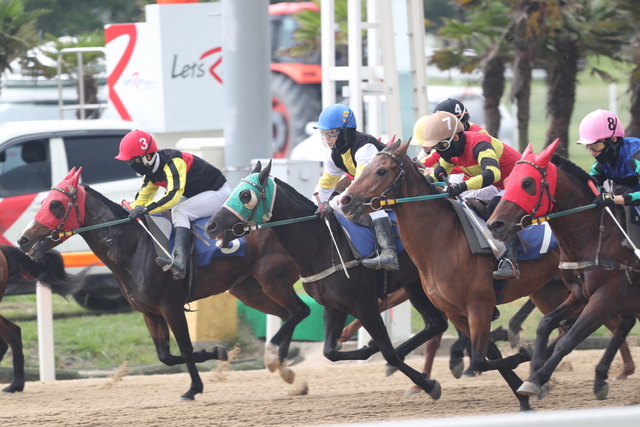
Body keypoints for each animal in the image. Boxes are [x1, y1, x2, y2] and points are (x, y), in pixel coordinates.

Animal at [16, 168, 312, 402]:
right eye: (44, 201)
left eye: (55, 204)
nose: (23, 240)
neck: (135, 246)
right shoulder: (150, 312)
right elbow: (165, 356)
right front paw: (216, 351)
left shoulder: (171, 307)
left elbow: (185, 348)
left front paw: (194, 388)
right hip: (249, 290)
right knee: (288, 314)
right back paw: (282, 365)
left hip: (273, 281)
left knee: (300, 311)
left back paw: (278, 361)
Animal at [338, 140, 592, 412]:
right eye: (365, 167)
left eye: (381, 171)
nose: (345, 200)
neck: (442, 239)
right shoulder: (457, 313)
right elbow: (489, 355)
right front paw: (523, 397)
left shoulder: (479, 306)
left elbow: (481, 359)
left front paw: (522, 356)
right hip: (550, 291)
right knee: (568, 326)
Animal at [488, 141, 636, 402]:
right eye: (508, 180)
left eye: (528, 183)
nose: (495, 225)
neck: (597, 236)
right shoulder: (579, 294)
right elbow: (545, 324)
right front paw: (534, 373)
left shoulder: (606, 296)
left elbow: (568, 340)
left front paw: (536, 379)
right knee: (623, 323)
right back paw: (601, 377)